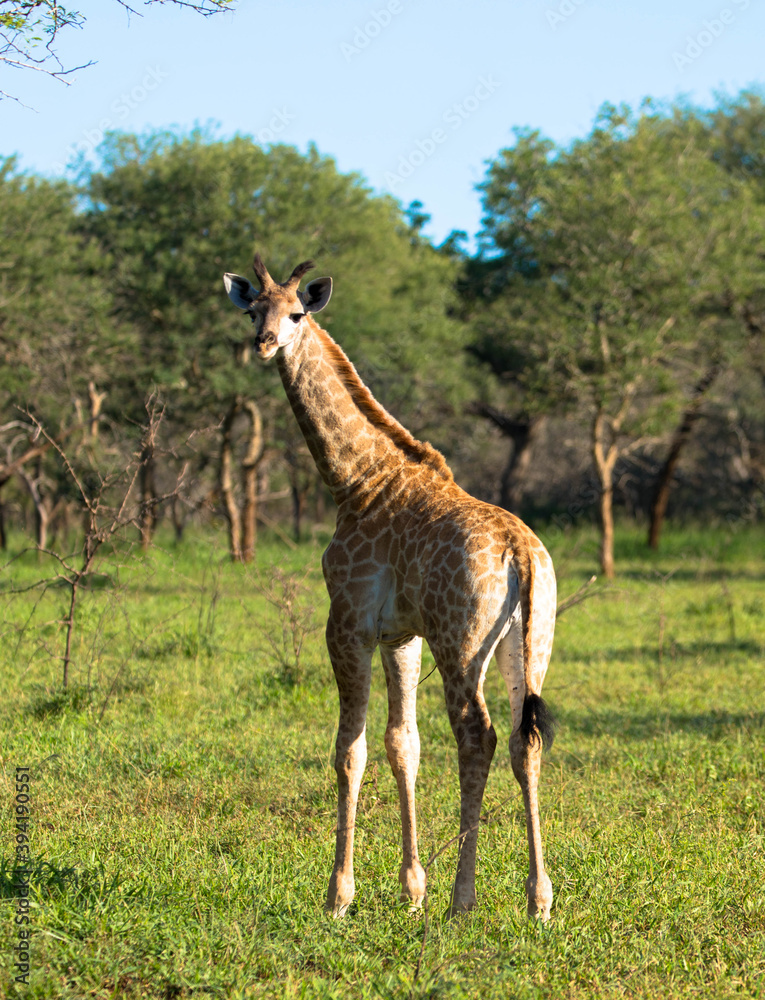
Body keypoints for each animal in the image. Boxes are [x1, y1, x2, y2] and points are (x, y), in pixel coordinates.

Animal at [223, 255, 557, 920]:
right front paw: (411, 889)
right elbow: (404, 745)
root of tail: (520, 554)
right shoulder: (401, 635)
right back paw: (538, 901)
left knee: (477, 737)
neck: (354, 480)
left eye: (296, 313)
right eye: (254, 311)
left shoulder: (347, 622)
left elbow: (348, 751)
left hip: (462, 644)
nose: (264, 343)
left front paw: (339, 896)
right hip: (529, 644)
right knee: (523, 741)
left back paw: (463, 901)